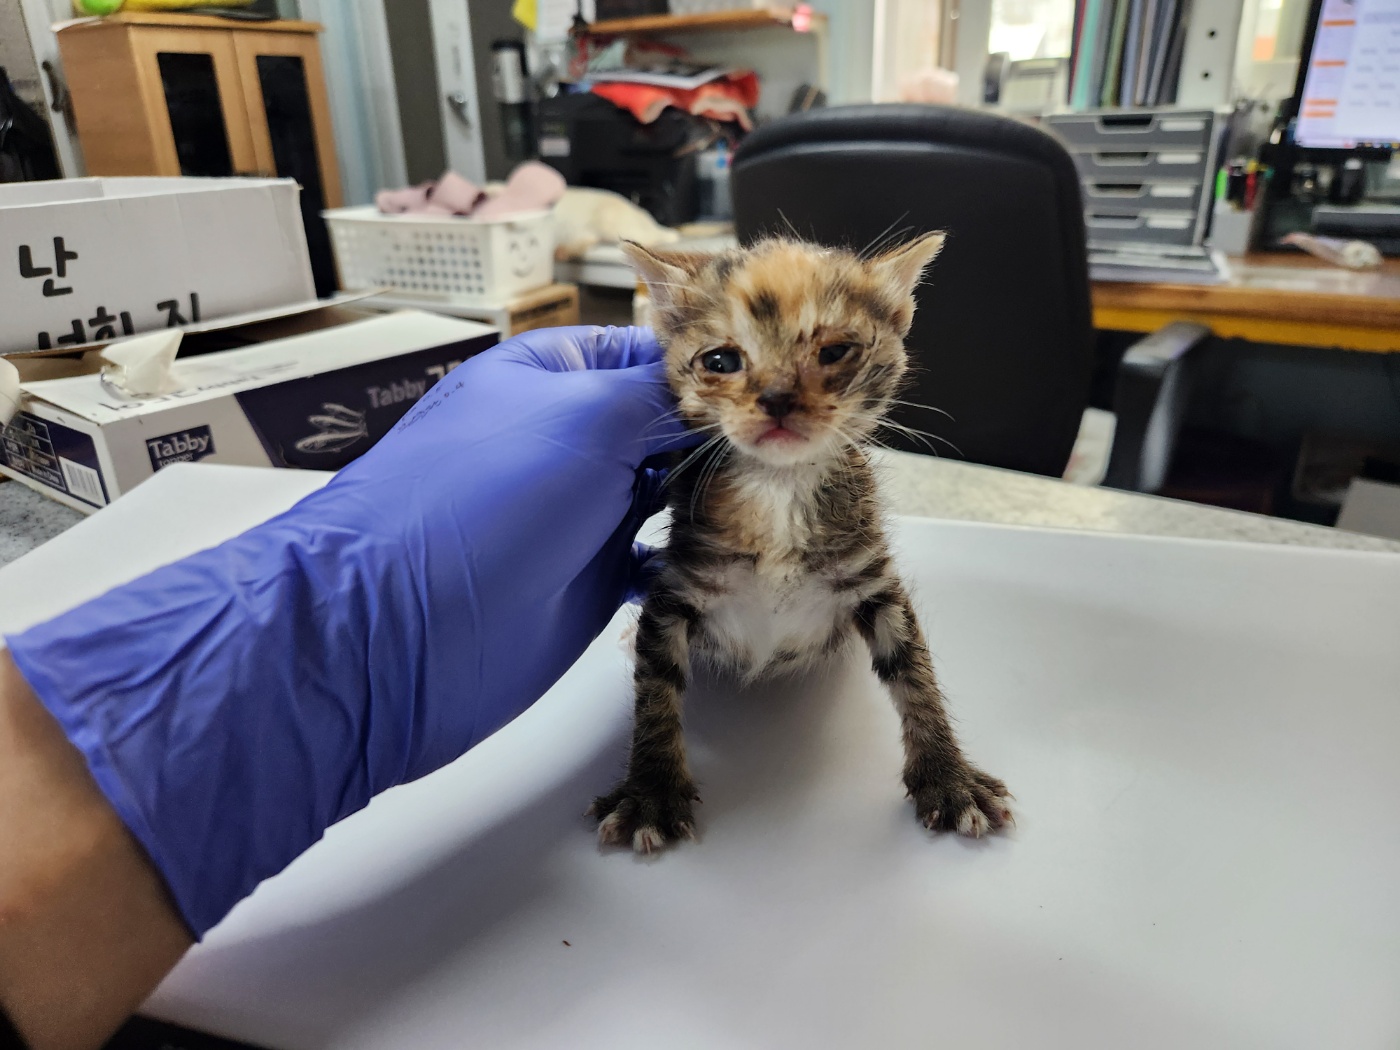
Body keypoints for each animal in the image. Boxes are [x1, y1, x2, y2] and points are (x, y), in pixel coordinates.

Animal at [593, 236, 1019, 856]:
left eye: (835, 352)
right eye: (720, 361)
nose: (776, 397)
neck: (779, 490)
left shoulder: (872, 578)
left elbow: (914, 673)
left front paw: (948, 778)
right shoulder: (674, 591)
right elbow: (655, 689)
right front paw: (651, 790)